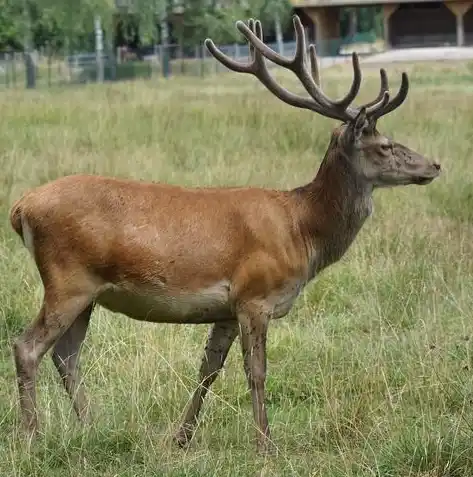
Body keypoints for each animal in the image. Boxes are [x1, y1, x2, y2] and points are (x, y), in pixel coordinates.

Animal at [10, 13, 438, 454]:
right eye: (385, 145)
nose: (434, 165)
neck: (302, 230)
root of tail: (21, 207)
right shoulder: (255, 295)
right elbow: (256, 371)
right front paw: (265, 444)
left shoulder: (227, 309)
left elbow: (209, 369)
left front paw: (181, 437)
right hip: (67, 279)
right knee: (27, 347)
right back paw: (31, 437)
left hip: (88, 293)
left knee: (66, 354)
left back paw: (92, 426)